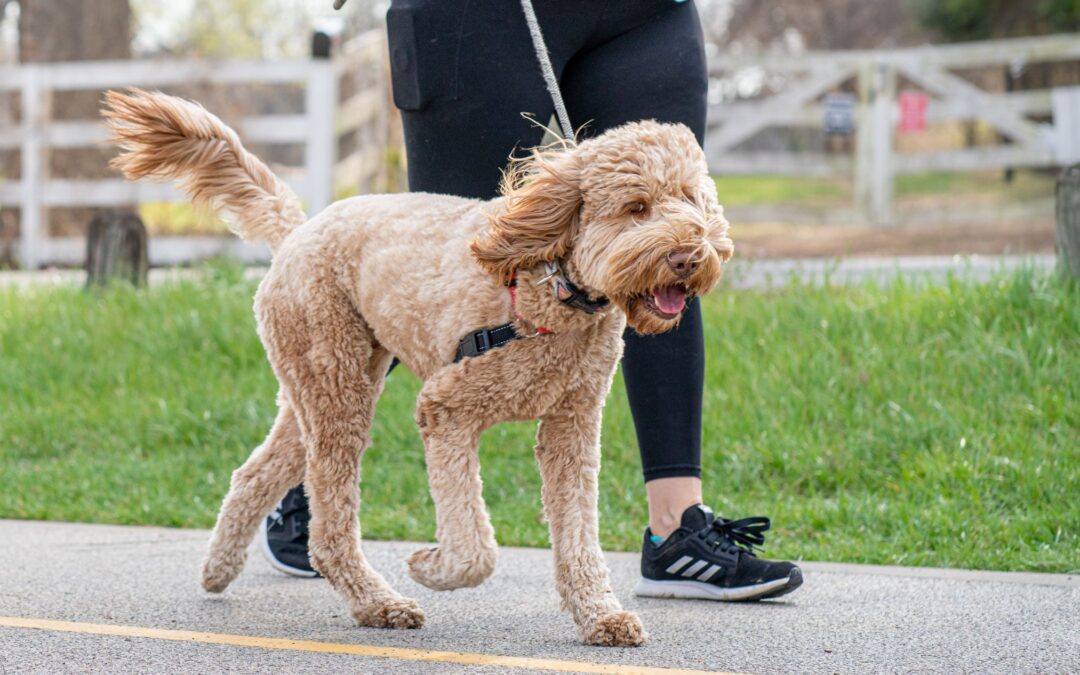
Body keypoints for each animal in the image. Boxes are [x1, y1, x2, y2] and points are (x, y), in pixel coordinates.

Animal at [103, 88, 734, 643]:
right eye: (636, 208)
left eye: (691, 200)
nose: (690, 256)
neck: (551, 286)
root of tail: (300, 230)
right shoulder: (446, 408)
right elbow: (475, 548)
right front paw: (432, 566)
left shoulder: (571, 428)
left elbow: (578, 534)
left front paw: (600, 616)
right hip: (337, 386)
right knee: (330, 527)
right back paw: (377, 604)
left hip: (325, 385)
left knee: (255, 474)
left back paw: (218, 569)